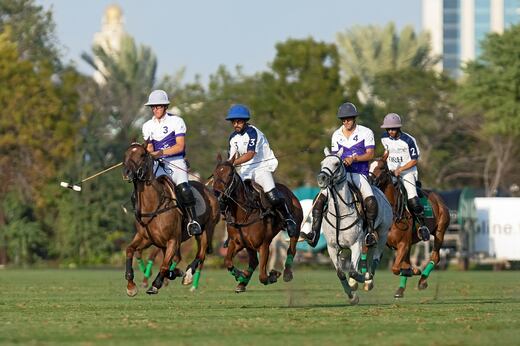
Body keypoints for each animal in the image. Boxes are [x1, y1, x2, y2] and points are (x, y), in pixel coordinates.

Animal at [123, 142, 219, 296]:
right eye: (125, 154)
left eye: (142, 155)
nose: (127, 172)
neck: (154, 205)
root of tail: (208, 189)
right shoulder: (146, 238)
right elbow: (130, 250)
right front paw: (131, 285)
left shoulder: (172, 240)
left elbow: (164, 265)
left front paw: (155, 285)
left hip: (206, 229)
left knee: (201, 254)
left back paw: (187, 276)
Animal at [210, 154, 302, 292]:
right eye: (214, 174)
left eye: (230, 174)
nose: (217, 194)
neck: (245, 213)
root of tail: (288, 191)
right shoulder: (236, 243)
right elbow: (227, 262)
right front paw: (240, 275)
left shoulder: (263, 245)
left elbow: (263, 276)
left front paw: (273, 275)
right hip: (249, 246)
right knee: (253, 261)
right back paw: (242, 283)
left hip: (296, 227)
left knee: (291, 248)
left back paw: (287, 274)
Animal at [316, 147, 394, 304]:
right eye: (322, 163)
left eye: (336, 163)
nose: (321, 179)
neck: (339, 213)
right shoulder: (332, 247)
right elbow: (340, 273)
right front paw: (352, 296)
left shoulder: (355, 244)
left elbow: (352, 271)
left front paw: (361, 279)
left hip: (383, 232)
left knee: (376, 258)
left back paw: (368, 279)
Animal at [370, 159, 450, 298]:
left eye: (381, 168)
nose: (369, 180)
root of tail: (438, 198)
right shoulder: (390, 244)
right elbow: (401, 265)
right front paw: (412, 270)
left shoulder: (403, 243)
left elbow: (396, 268)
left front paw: (414, 271)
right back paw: (401, 289)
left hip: (440, 231)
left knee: (435, 257)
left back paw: (422, 281)